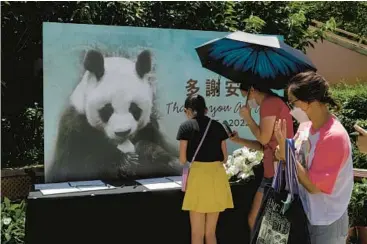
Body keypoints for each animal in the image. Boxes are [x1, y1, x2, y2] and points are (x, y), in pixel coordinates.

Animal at [46, 49, 182, 183]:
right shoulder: (74, 128)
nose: (122, 132)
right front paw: (125, 162)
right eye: (107, 109)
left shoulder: (151, 128)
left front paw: (147, 151)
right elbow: (74, 165)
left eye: (134, 109)